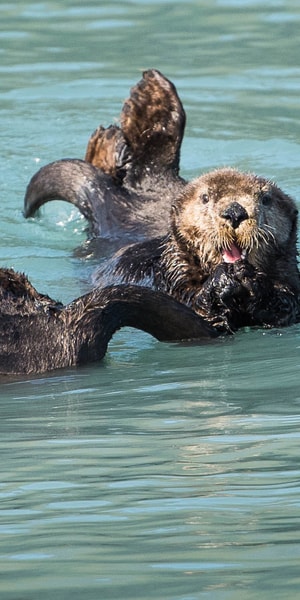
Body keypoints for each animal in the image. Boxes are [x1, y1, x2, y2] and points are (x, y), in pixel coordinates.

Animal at [92, 168, 298, 332]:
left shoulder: (288, 278)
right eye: (205, 197)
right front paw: (221, 280)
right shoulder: (176, 279)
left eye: (266, 199)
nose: (235, 212)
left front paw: (253, 281)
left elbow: (287, 306)